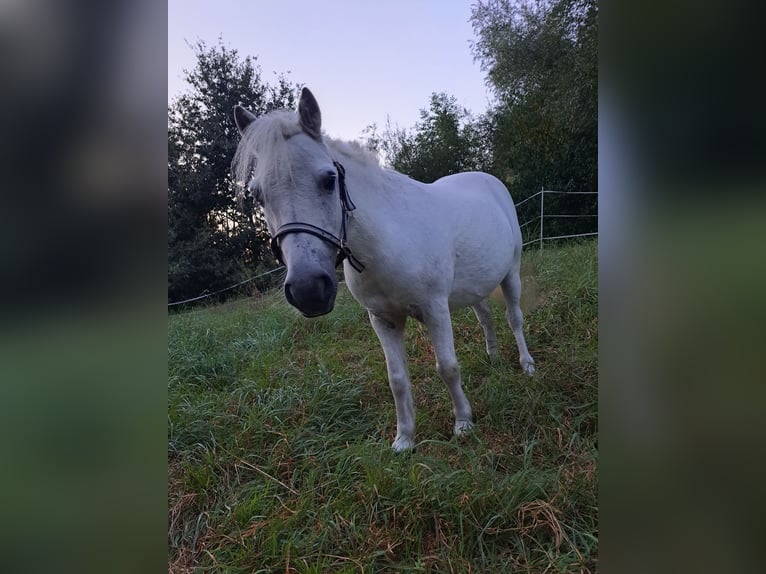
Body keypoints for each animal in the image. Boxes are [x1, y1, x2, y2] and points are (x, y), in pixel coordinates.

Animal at [231, 88, 536, 452]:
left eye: (329, 180)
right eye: (257, 194)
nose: (308, 290)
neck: (388, 241)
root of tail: (489, 180)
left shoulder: (435, 309)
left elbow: (447, 367)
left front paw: (463, 423)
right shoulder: (383, 320)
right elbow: (397, 379)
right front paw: (404, 439)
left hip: (511, 274)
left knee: (514, 318)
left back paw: (527, 364)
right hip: (475, 286)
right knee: (486, 318)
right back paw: (493, 358)